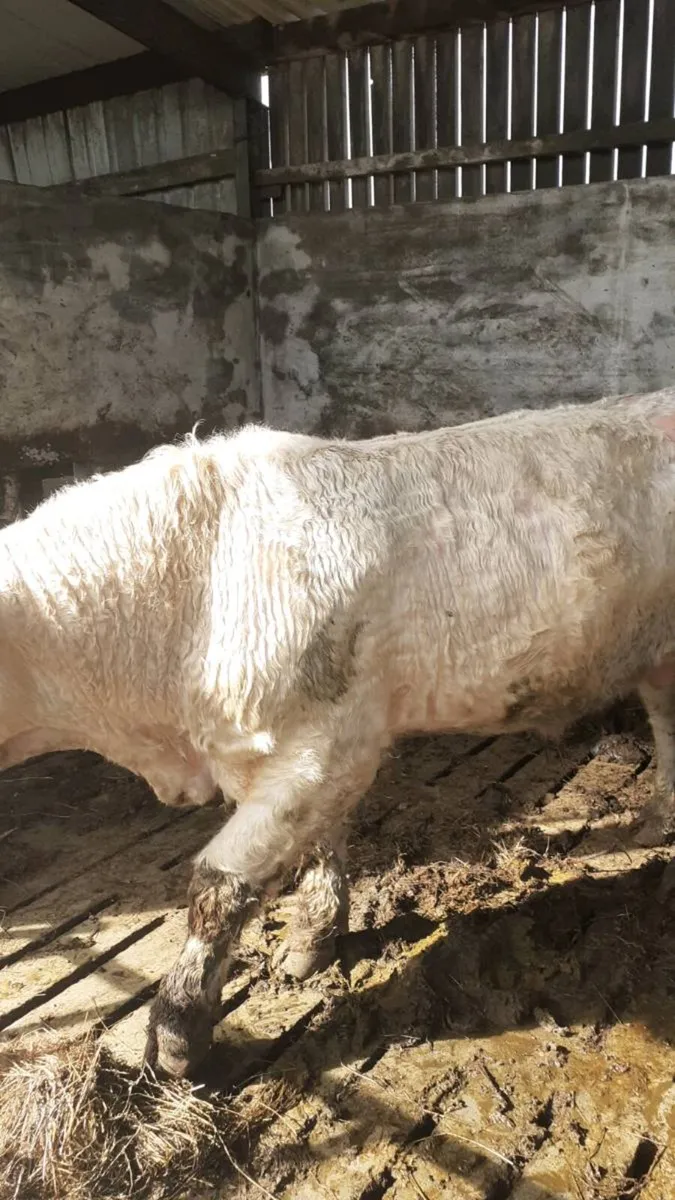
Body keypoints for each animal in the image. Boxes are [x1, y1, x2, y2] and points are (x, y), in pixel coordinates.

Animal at [3, 388, 675, 1079]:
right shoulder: (284, 754)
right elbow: (319, 845)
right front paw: (314, 937)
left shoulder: (328, 746)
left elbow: (220, 884)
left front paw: (176, 1032)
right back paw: (656, 823)